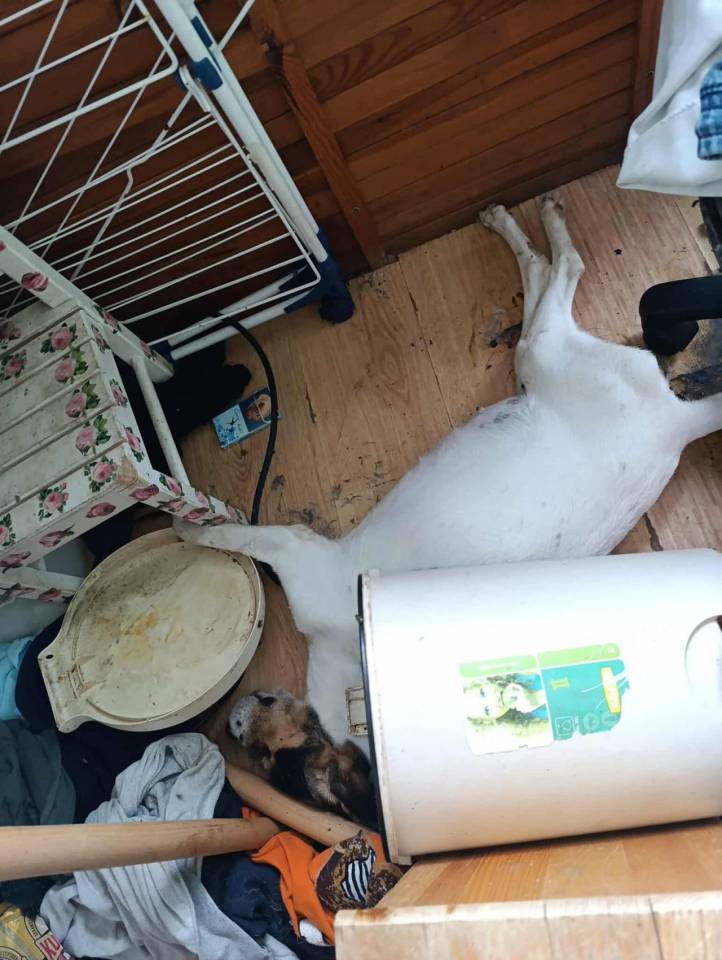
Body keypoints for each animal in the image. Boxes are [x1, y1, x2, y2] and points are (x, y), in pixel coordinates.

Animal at [178, 196, 722, 752]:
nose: (230, 724)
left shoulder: (296, 548)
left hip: (548, 355)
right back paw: (516, 227)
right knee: (543, 283)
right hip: (538, 364)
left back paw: (537, 225)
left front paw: (188, 528)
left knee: (565, 271)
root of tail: (679, 426)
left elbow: (237, 534)